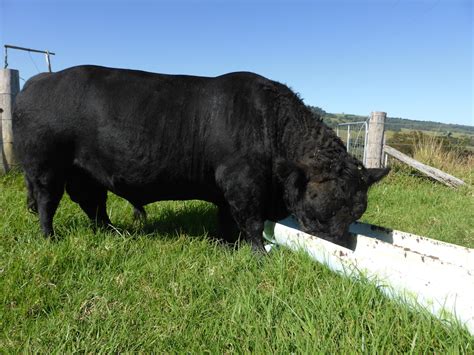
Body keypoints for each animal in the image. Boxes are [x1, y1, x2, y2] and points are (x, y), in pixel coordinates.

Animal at [12, 66, 388, 250]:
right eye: (326, 203)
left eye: (358, 210)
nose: (342, 245)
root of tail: (40, 80)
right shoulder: (242, 182)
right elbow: (251, 223)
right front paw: (259, 255)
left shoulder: (226, 189)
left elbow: (227, 220)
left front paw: (226, 245)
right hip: (45, 167)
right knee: (47, 203)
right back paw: (50, 239)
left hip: (85, 172)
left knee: (94, 204)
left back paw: (111, 233)